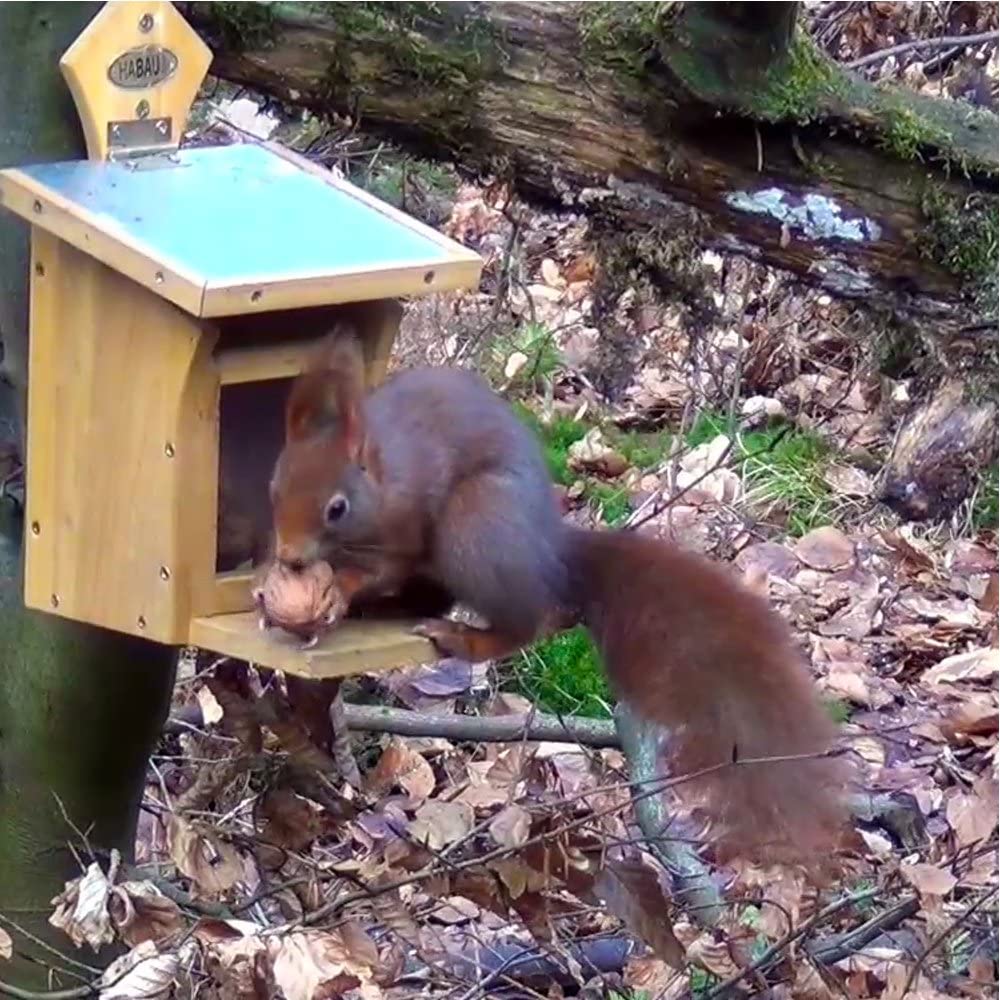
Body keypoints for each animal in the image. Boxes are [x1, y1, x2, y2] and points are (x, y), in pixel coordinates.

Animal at [268, 332, 852, 864]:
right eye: (272, 487)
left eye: (336, 508)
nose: (290, 557)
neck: (382, 473)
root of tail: (551, 557)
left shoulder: (402, 527)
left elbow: (377, 568)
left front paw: (336, 592)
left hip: (474, 527)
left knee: (526, 621)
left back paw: (462, 635)